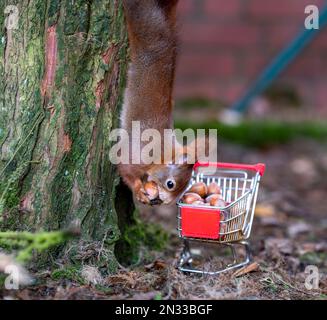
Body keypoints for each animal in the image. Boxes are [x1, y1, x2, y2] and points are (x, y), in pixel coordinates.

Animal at [120, 0, 201, 205]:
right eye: (171, 184)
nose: (163, 202)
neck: (160, 154)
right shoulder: (136, 153)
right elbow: (124, 169)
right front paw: (138, 189)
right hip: (144, 24)